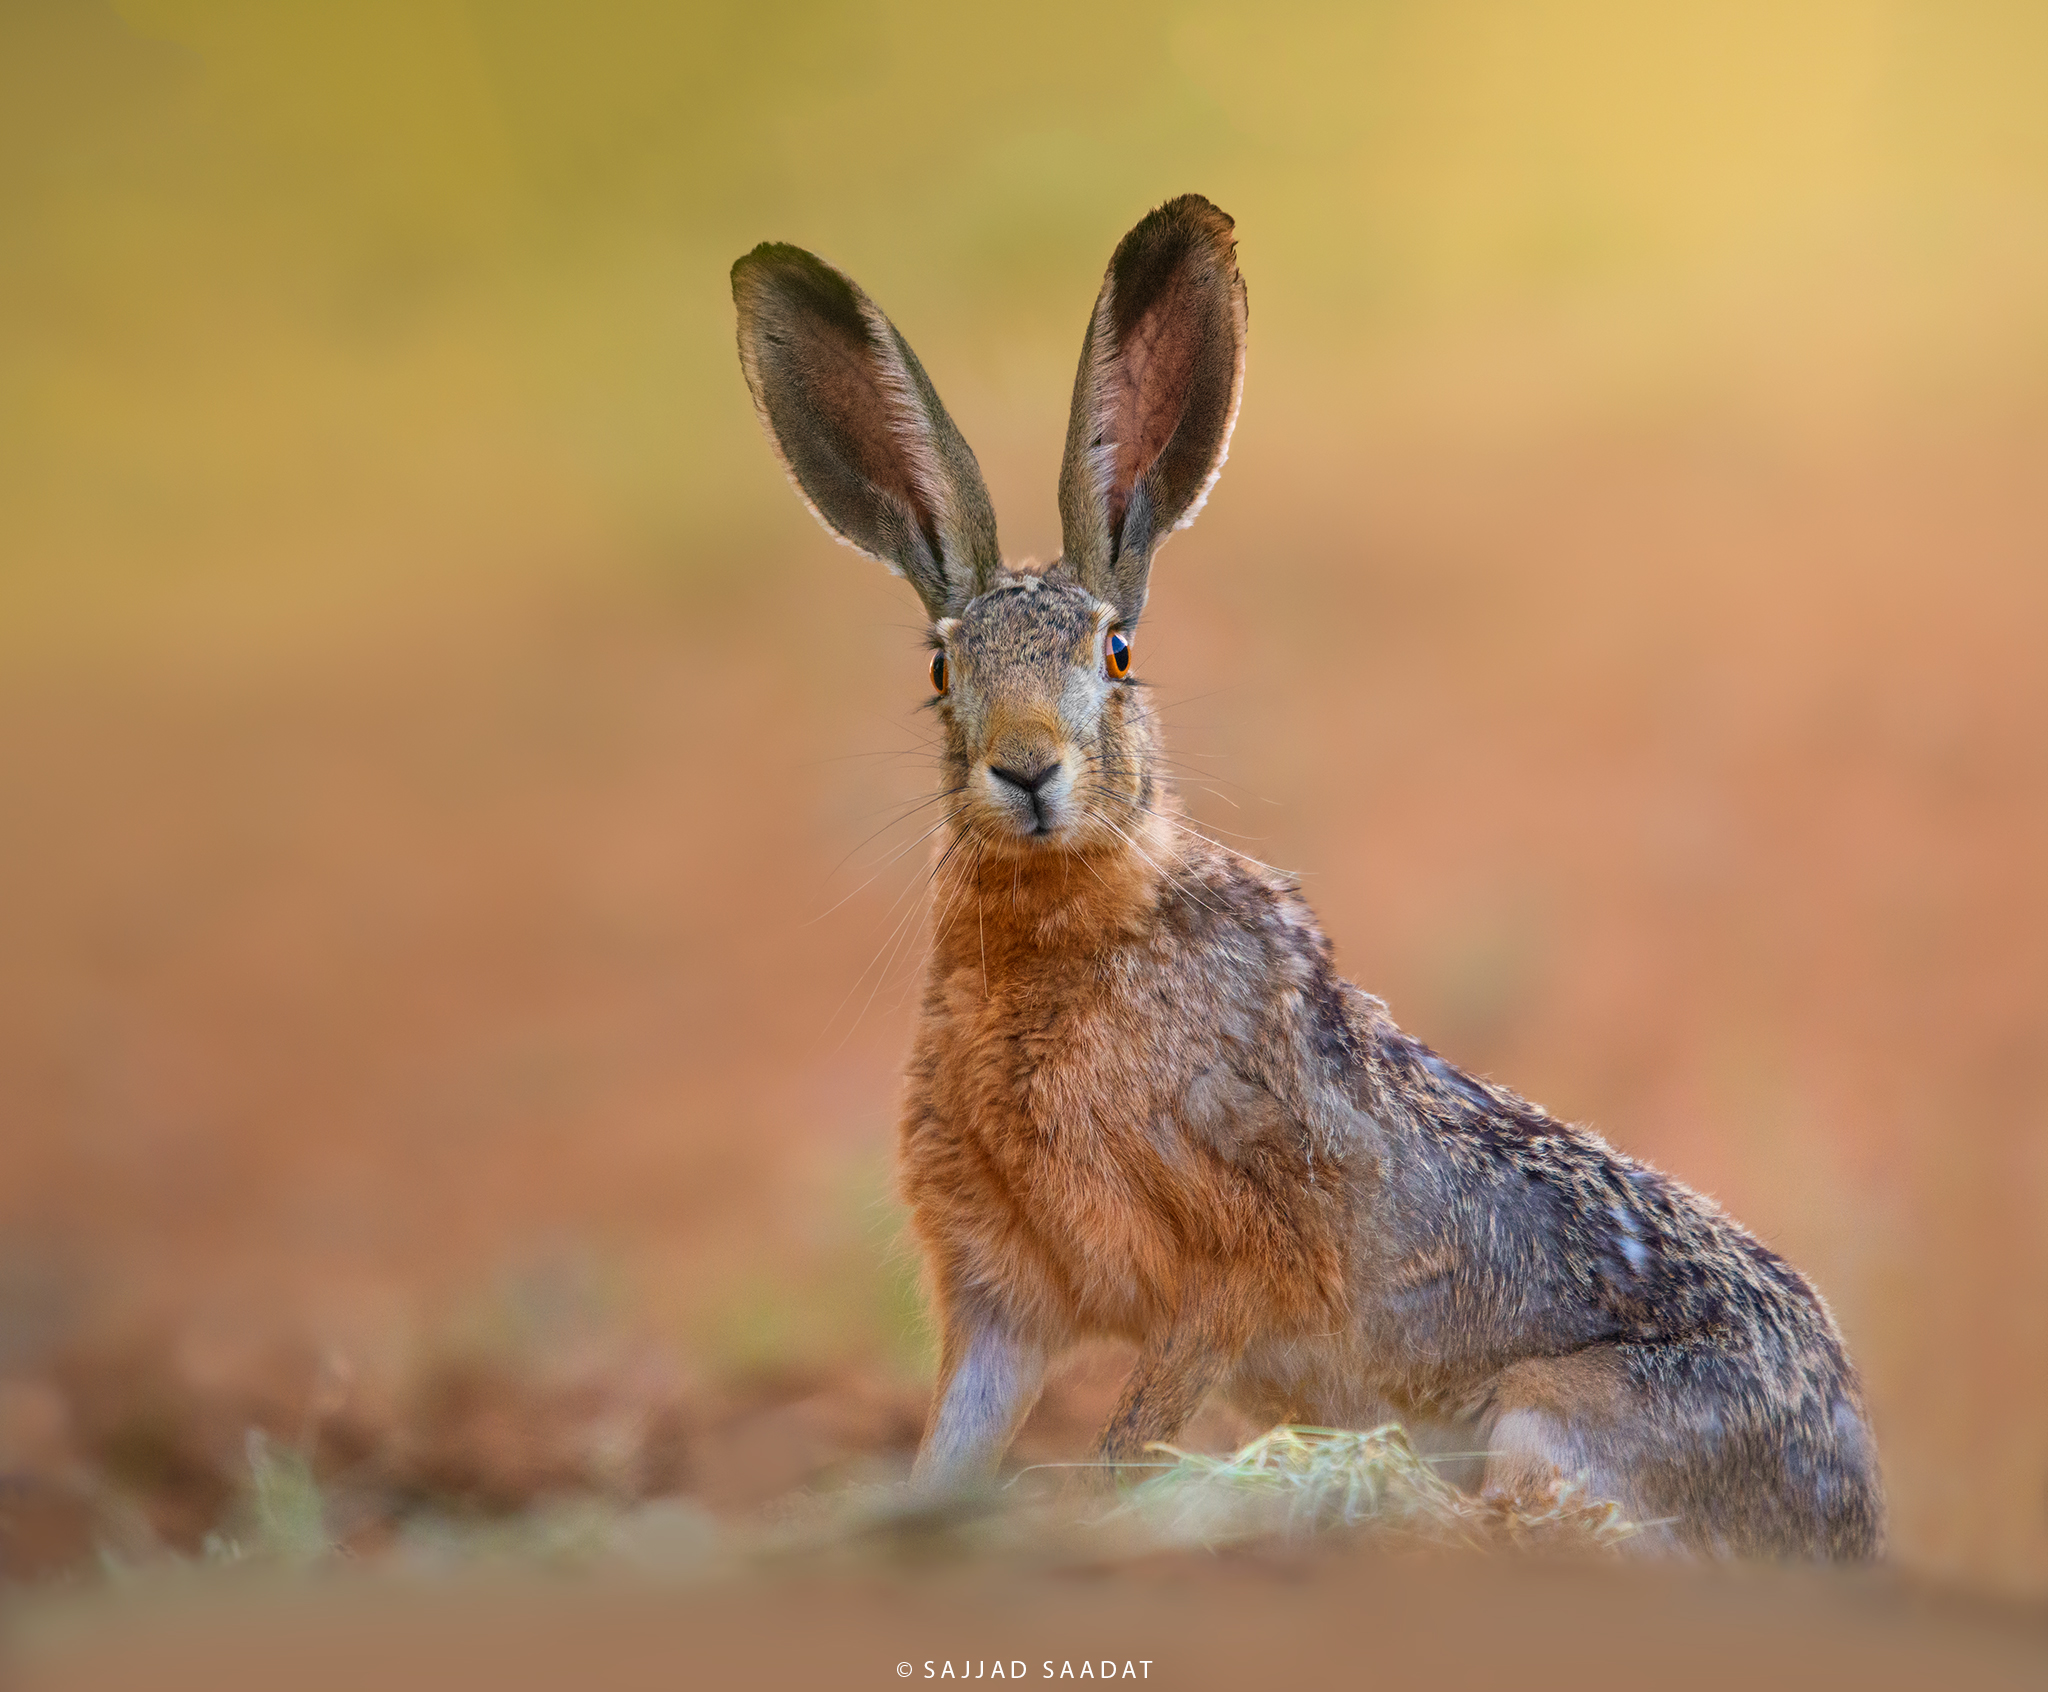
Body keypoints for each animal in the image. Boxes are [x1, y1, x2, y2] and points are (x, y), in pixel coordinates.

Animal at [730, 194, 1885, 1561]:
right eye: (938, 672)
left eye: (1116, 656)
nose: (1025, 769)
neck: (1065, 923)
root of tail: (1849, 1512)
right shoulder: (998, 1294)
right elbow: (955, 1443)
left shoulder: (1226, 1270)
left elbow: (1127, 1444)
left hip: (1553, 1423)